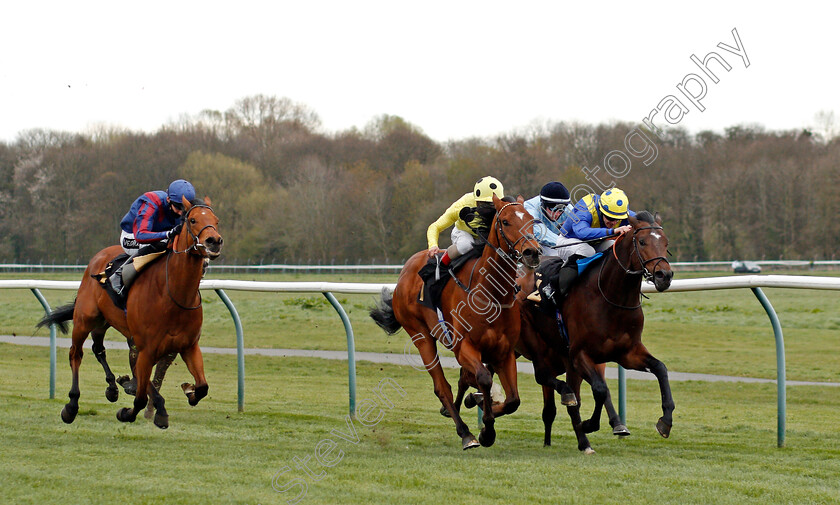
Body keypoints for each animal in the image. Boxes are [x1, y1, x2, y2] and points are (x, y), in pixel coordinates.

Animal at [37, 197, 221, 430]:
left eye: (216, 220)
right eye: (193, 219)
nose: (214, 241)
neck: (174, 294)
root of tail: (97, 258)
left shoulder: (188, 346)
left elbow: (202, 386)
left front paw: (188, 391)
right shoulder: (147, 348)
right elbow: (141, 398)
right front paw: (128, 412)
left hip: (105, 322)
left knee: (99, 348)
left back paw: (114, 388)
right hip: (84, 320)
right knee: (76, 354)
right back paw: (72, 405)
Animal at [370, 194, 540, 448]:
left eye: (531, 220)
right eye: (506, 221)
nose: (532, 252)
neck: (491, 293)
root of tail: (406, 270)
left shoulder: (505, 352)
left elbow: (513, 400)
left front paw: (481, 409)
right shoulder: (464, 347)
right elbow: (483, 378)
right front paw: (486, 429)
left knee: (462, 381)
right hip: (420, 335)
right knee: (442, 387)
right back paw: (465, 433)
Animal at [520, 210, 672, 452]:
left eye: (666, 243)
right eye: (642, 241)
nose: (664, 276)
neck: (611, 297)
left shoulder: (627, 353)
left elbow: (660, 368)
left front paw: (665, 421)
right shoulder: (579, 353)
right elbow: (599, 389)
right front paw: (589, 424)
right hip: (536, 344)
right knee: (544, 376)